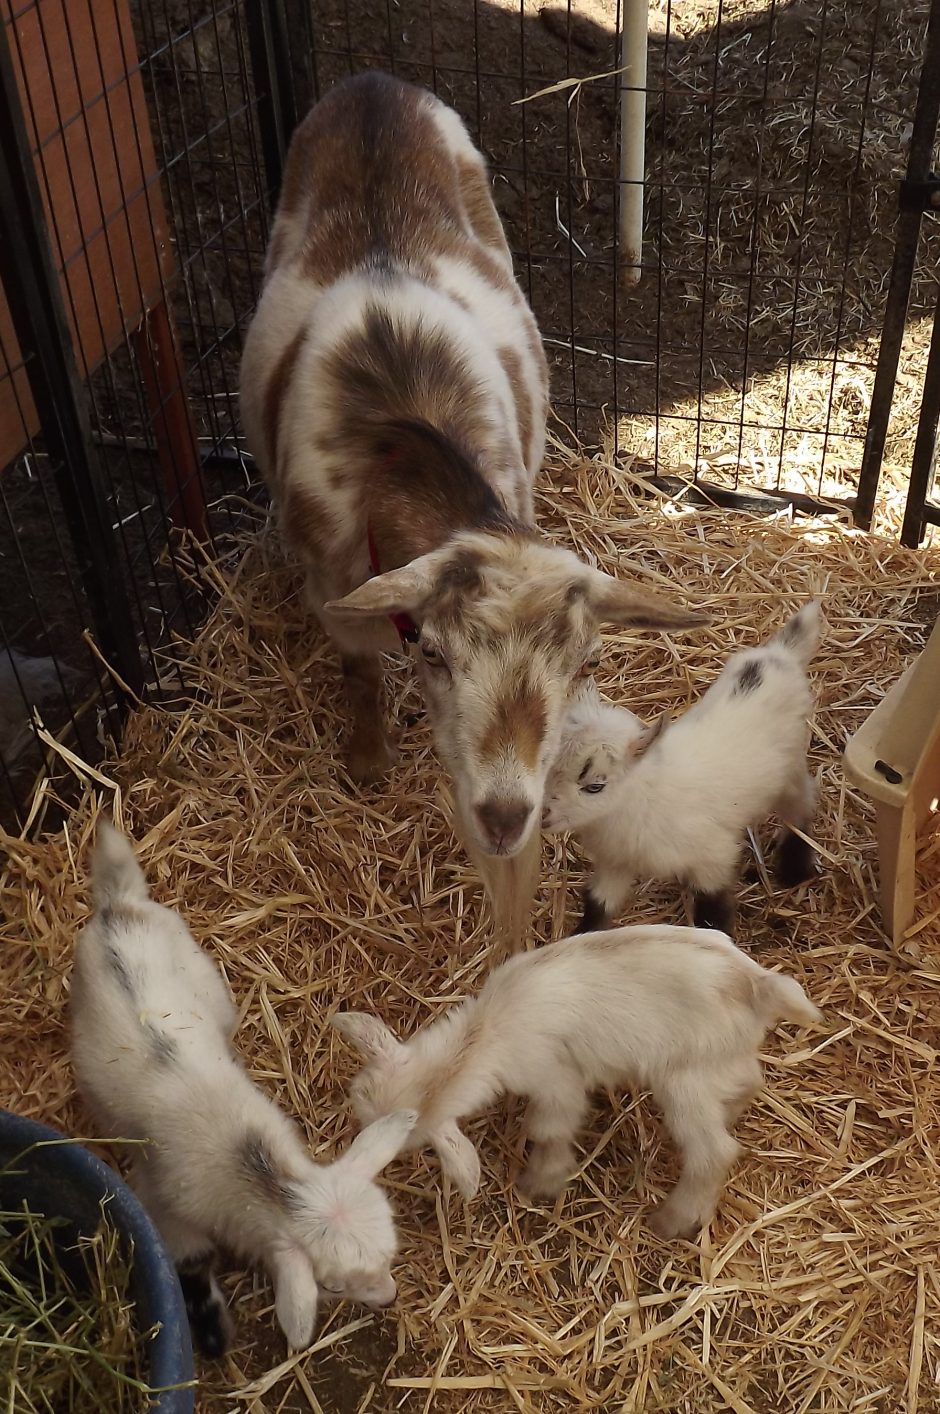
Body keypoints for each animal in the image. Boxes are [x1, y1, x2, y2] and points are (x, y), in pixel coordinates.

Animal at [71, 824, 416, 1357]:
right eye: (333, 1286)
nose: (389, 1298)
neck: (262, 1176)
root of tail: (116, 909)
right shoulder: (167, 1207)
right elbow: (190, 1261)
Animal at [239, 71, 708, 952]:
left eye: (588, 663)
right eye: (432, 652)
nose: (502, 817)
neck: (403, 432)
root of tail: (373, 83)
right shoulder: (333, 581)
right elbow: (358, 669)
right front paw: (367, 763)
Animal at [333, 924, 820, 1239]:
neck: (486, 1033)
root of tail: (756, 983)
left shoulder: (555, 1078)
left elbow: (549, 1127)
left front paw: (540, 1181)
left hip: (684, 1079)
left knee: (713, 1151)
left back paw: (674, 1221)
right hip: (721, 1057)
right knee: (749, 1081)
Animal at [542, 601, 824, 934]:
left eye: (595, 785)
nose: (542, 815)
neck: (645, 799)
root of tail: (781, 654)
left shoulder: (712, 857)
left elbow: (713, 914)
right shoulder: (616, 863)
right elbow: (598, 905)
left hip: (790, 769)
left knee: (800, 807)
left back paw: (794, 870)